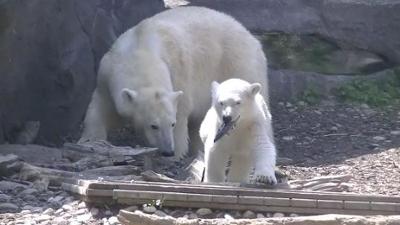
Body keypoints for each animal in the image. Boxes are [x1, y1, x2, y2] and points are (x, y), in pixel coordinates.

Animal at [79, 6, 268, 159]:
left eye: (172, 123)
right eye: (153, 125)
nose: (167, 151)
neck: (141, 49)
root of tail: (250, 36)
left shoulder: (178, 71)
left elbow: (182, 109)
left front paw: (178, 152)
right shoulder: (107, 74)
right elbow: (102, 107)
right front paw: (89, 140)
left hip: (237, 65)